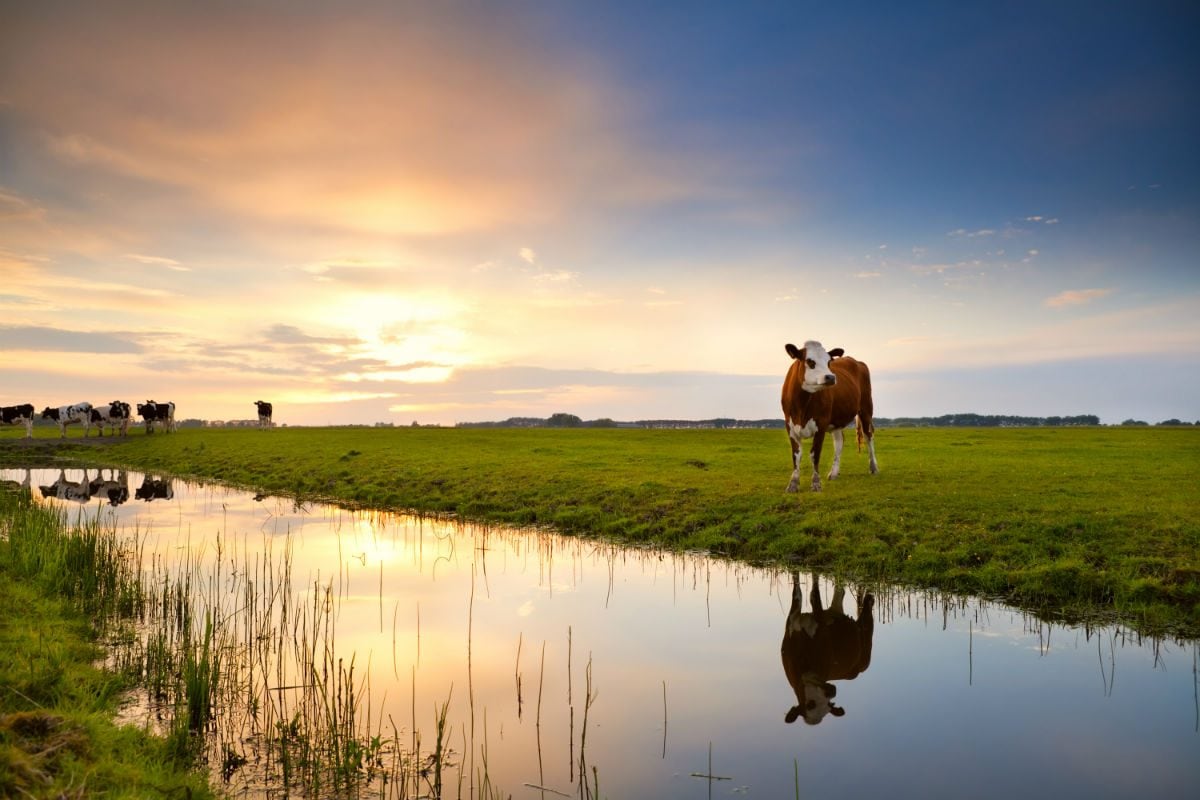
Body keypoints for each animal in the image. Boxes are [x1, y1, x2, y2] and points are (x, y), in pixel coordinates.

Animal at [782, 343, 878, 494]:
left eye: (828, 362)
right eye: (810, 361)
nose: (831, 377)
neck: (801, 405)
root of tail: (857, 361)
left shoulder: (820, 425)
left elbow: (815, 454)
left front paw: (816, 484)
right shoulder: (790, 426)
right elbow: (796, 455)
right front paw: (793, 484)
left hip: (866, 408)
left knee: (869, 436)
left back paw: (873, 467)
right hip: (837, 419)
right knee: (839, 442)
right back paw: (834, 473)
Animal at [782, 573, 878, 729]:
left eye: (828, 705)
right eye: (810, 704)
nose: (831, 691)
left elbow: (814, 595)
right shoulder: (792, 620)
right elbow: (798, 593)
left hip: (865, 650)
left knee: (866, 616)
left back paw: (869, 598)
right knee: (840, 592)